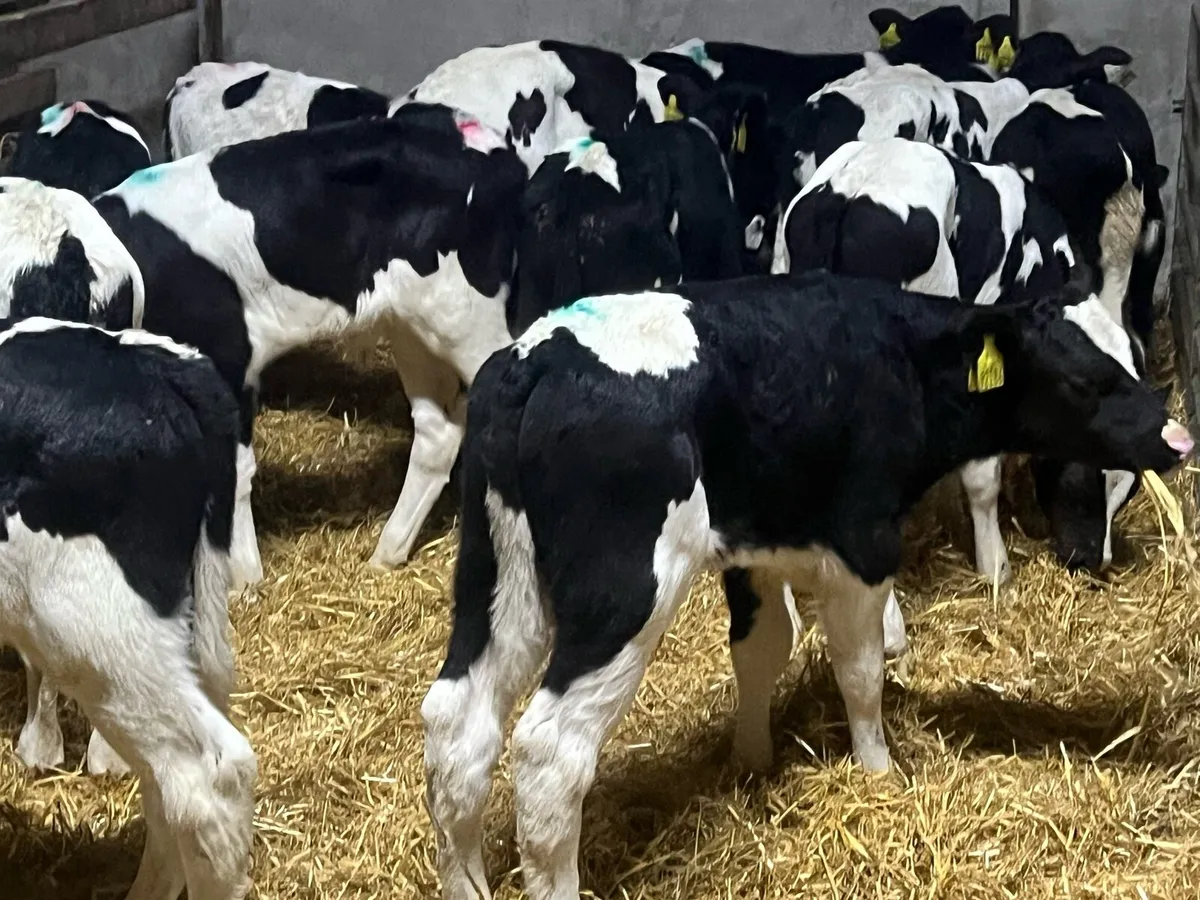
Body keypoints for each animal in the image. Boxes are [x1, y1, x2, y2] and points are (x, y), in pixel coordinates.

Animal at [92, 104, 527, 586]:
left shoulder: (228, 358)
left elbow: (232, 472)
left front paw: (245, 579)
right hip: (414, 326)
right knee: (439, 432)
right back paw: (385, 555)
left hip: (467, 317)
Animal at [421, 272, 1191, 900]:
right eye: (1084, 381)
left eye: (1133, 358)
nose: (1177, 438)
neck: (898, 361)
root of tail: (536, 358)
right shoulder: (862, 543)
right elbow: (860, 670)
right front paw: (878, 771)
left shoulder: (759, 546)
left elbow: (763, 648)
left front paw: (752, 761)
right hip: (624, 593)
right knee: (549, 752)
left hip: (495, 576)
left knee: (457, 725)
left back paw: (468, 885)